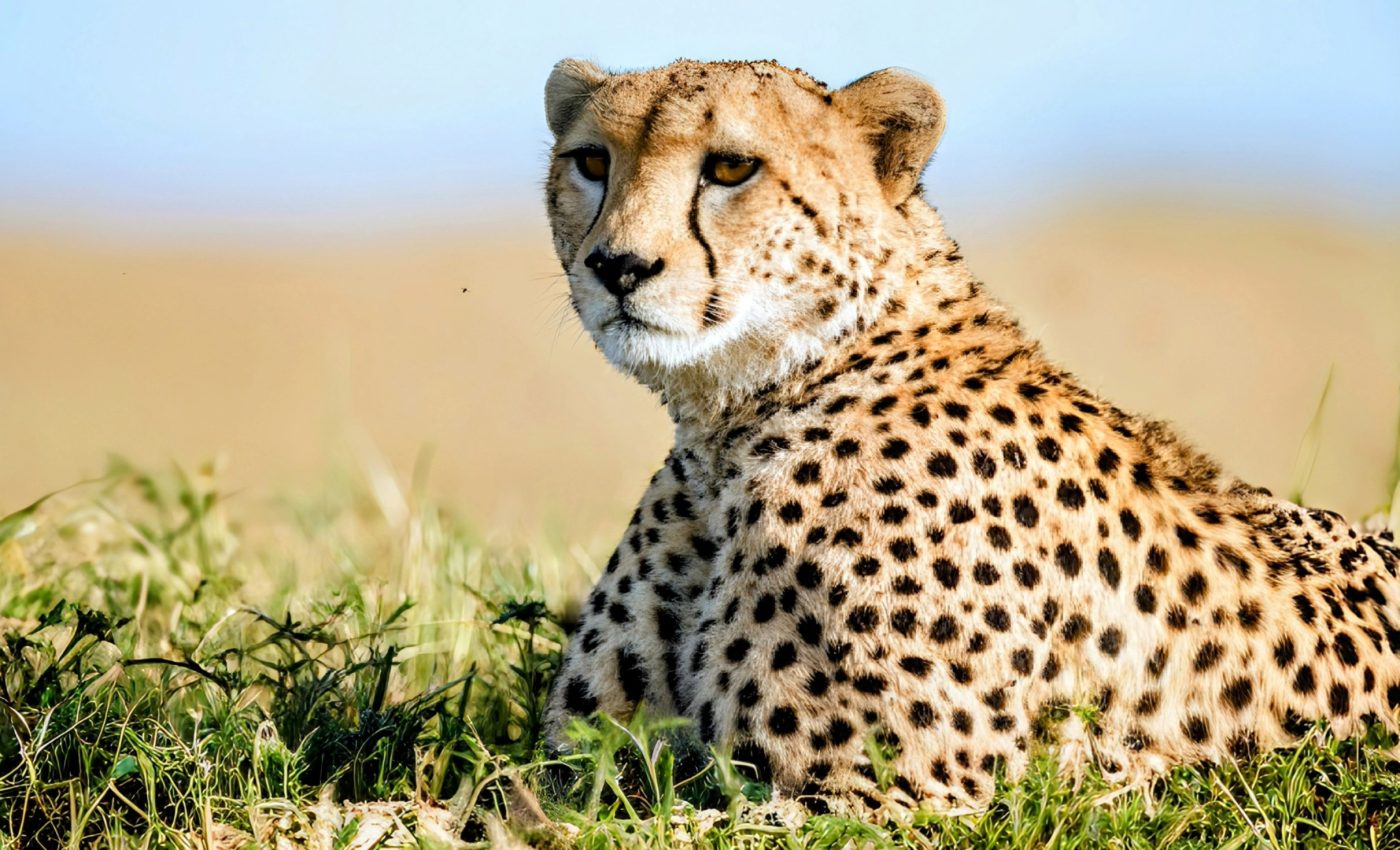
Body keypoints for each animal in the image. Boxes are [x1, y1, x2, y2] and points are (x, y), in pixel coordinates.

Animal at [538, 57, 1400, 812]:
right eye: (591, 161)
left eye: (729, 168)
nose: (618, 266)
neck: (736, 422)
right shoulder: (581, 765)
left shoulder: (890, 799)